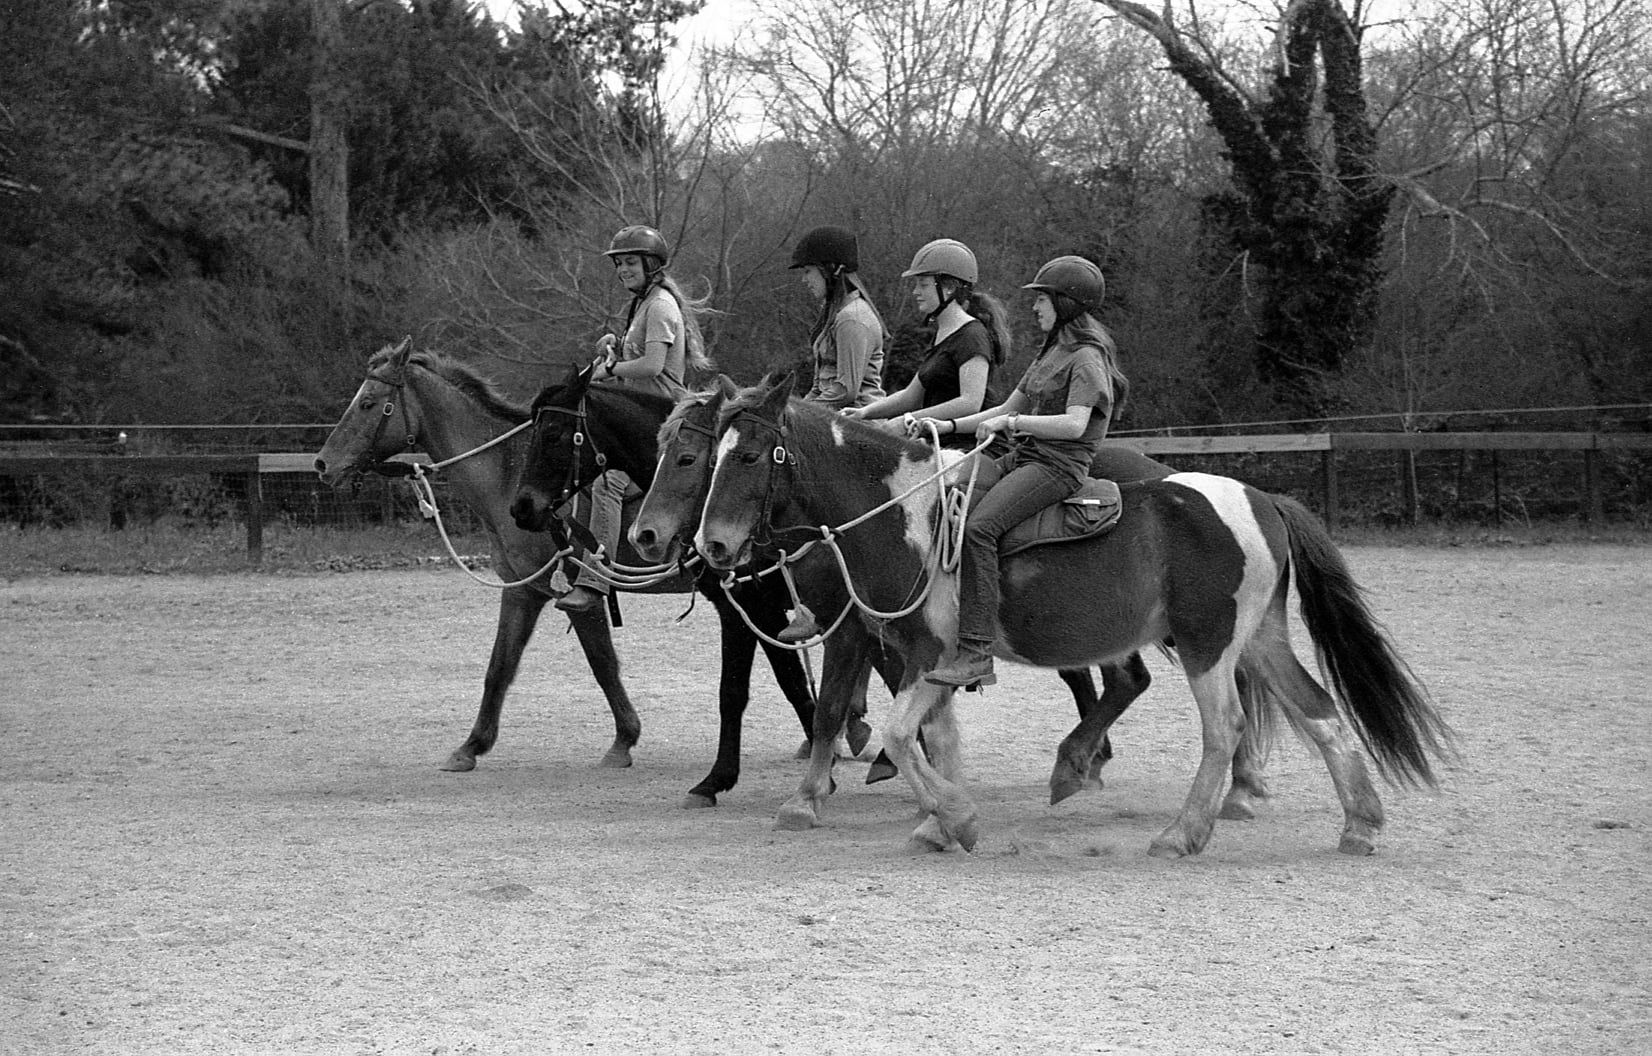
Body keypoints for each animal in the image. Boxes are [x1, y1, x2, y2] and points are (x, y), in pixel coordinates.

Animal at [502, 366, 826, 806]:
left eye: (553, 434)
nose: (522, 507)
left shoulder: (749, 608)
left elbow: (748, 689)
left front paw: (719, 779)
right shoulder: (752, 610)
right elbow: (778, 683)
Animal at [690, 371, 1453, 859]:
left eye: (750, 454)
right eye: (709, 457)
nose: (713, 546)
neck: (908, 514)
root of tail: (1261, 499)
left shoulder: (931, 654)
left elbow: (904, 738)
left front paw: (958, 818)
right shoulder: (928, 659)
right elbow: (935, 739)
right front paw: (941, 824)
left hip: (1208, 645)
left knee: (1226, 728)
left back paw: (1183, 833)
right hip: (1261, 639)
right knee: (1321, 713)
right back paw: (1360, 824)